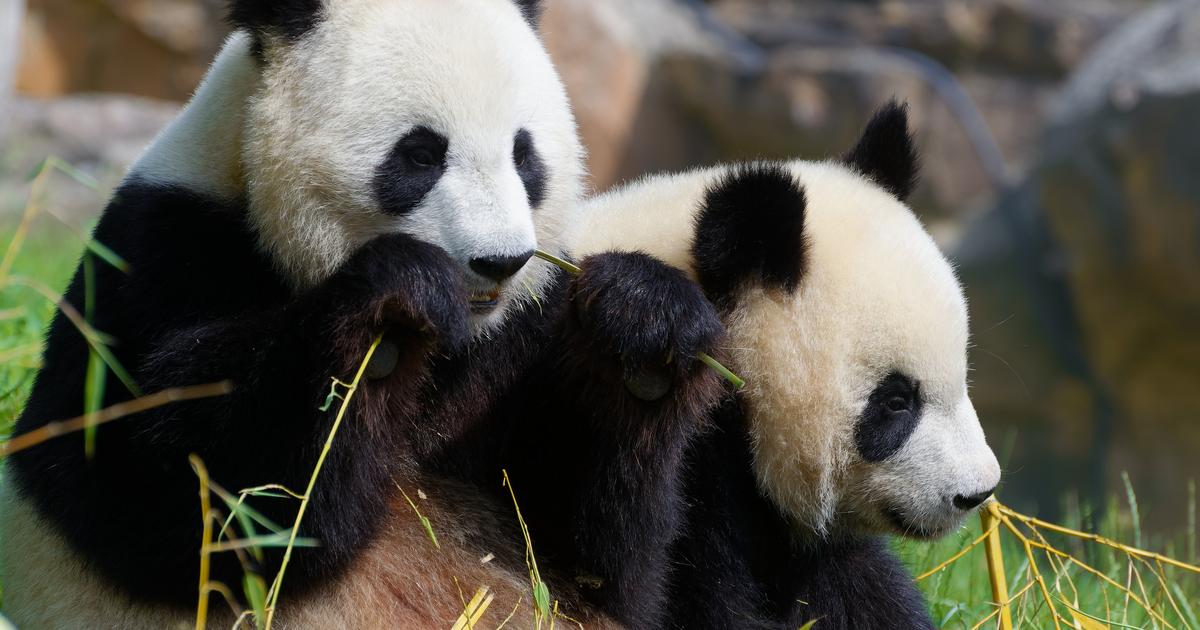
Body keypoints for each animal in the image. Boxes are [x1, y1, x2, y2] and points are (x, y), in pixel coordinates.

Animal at [0, 1, 726, 627]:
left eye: (525, 155)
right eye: (422, 153)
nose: (500, 262)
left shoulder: (522, 341)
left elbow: (586, 560)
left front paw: (643, 323)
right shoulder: (158, 259)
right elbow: (179, 496)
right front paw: (395, 307)